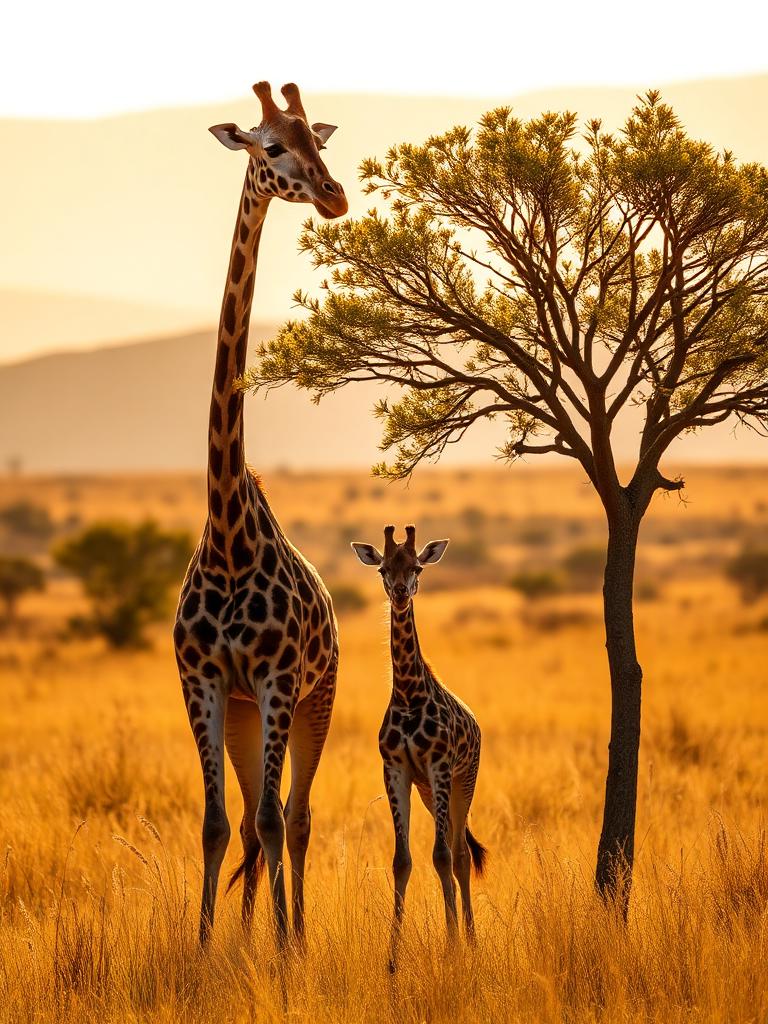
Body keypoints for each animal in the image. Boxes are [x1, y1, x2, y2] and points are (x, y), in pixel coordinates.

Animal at [352, 525, 487, 970]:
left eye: (416, 567)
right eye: (382, 568)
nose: (399, 592)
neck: (409, 694)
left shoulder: (439, 766)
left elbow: (441, 857)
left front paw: (451, 948)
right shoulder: (396, 770)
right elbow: (402, 860)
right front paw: (392, 959)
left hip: (463, 781)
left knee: (460, 855)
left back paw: (471, 942)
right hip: (429, 792)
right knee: (455, 851)